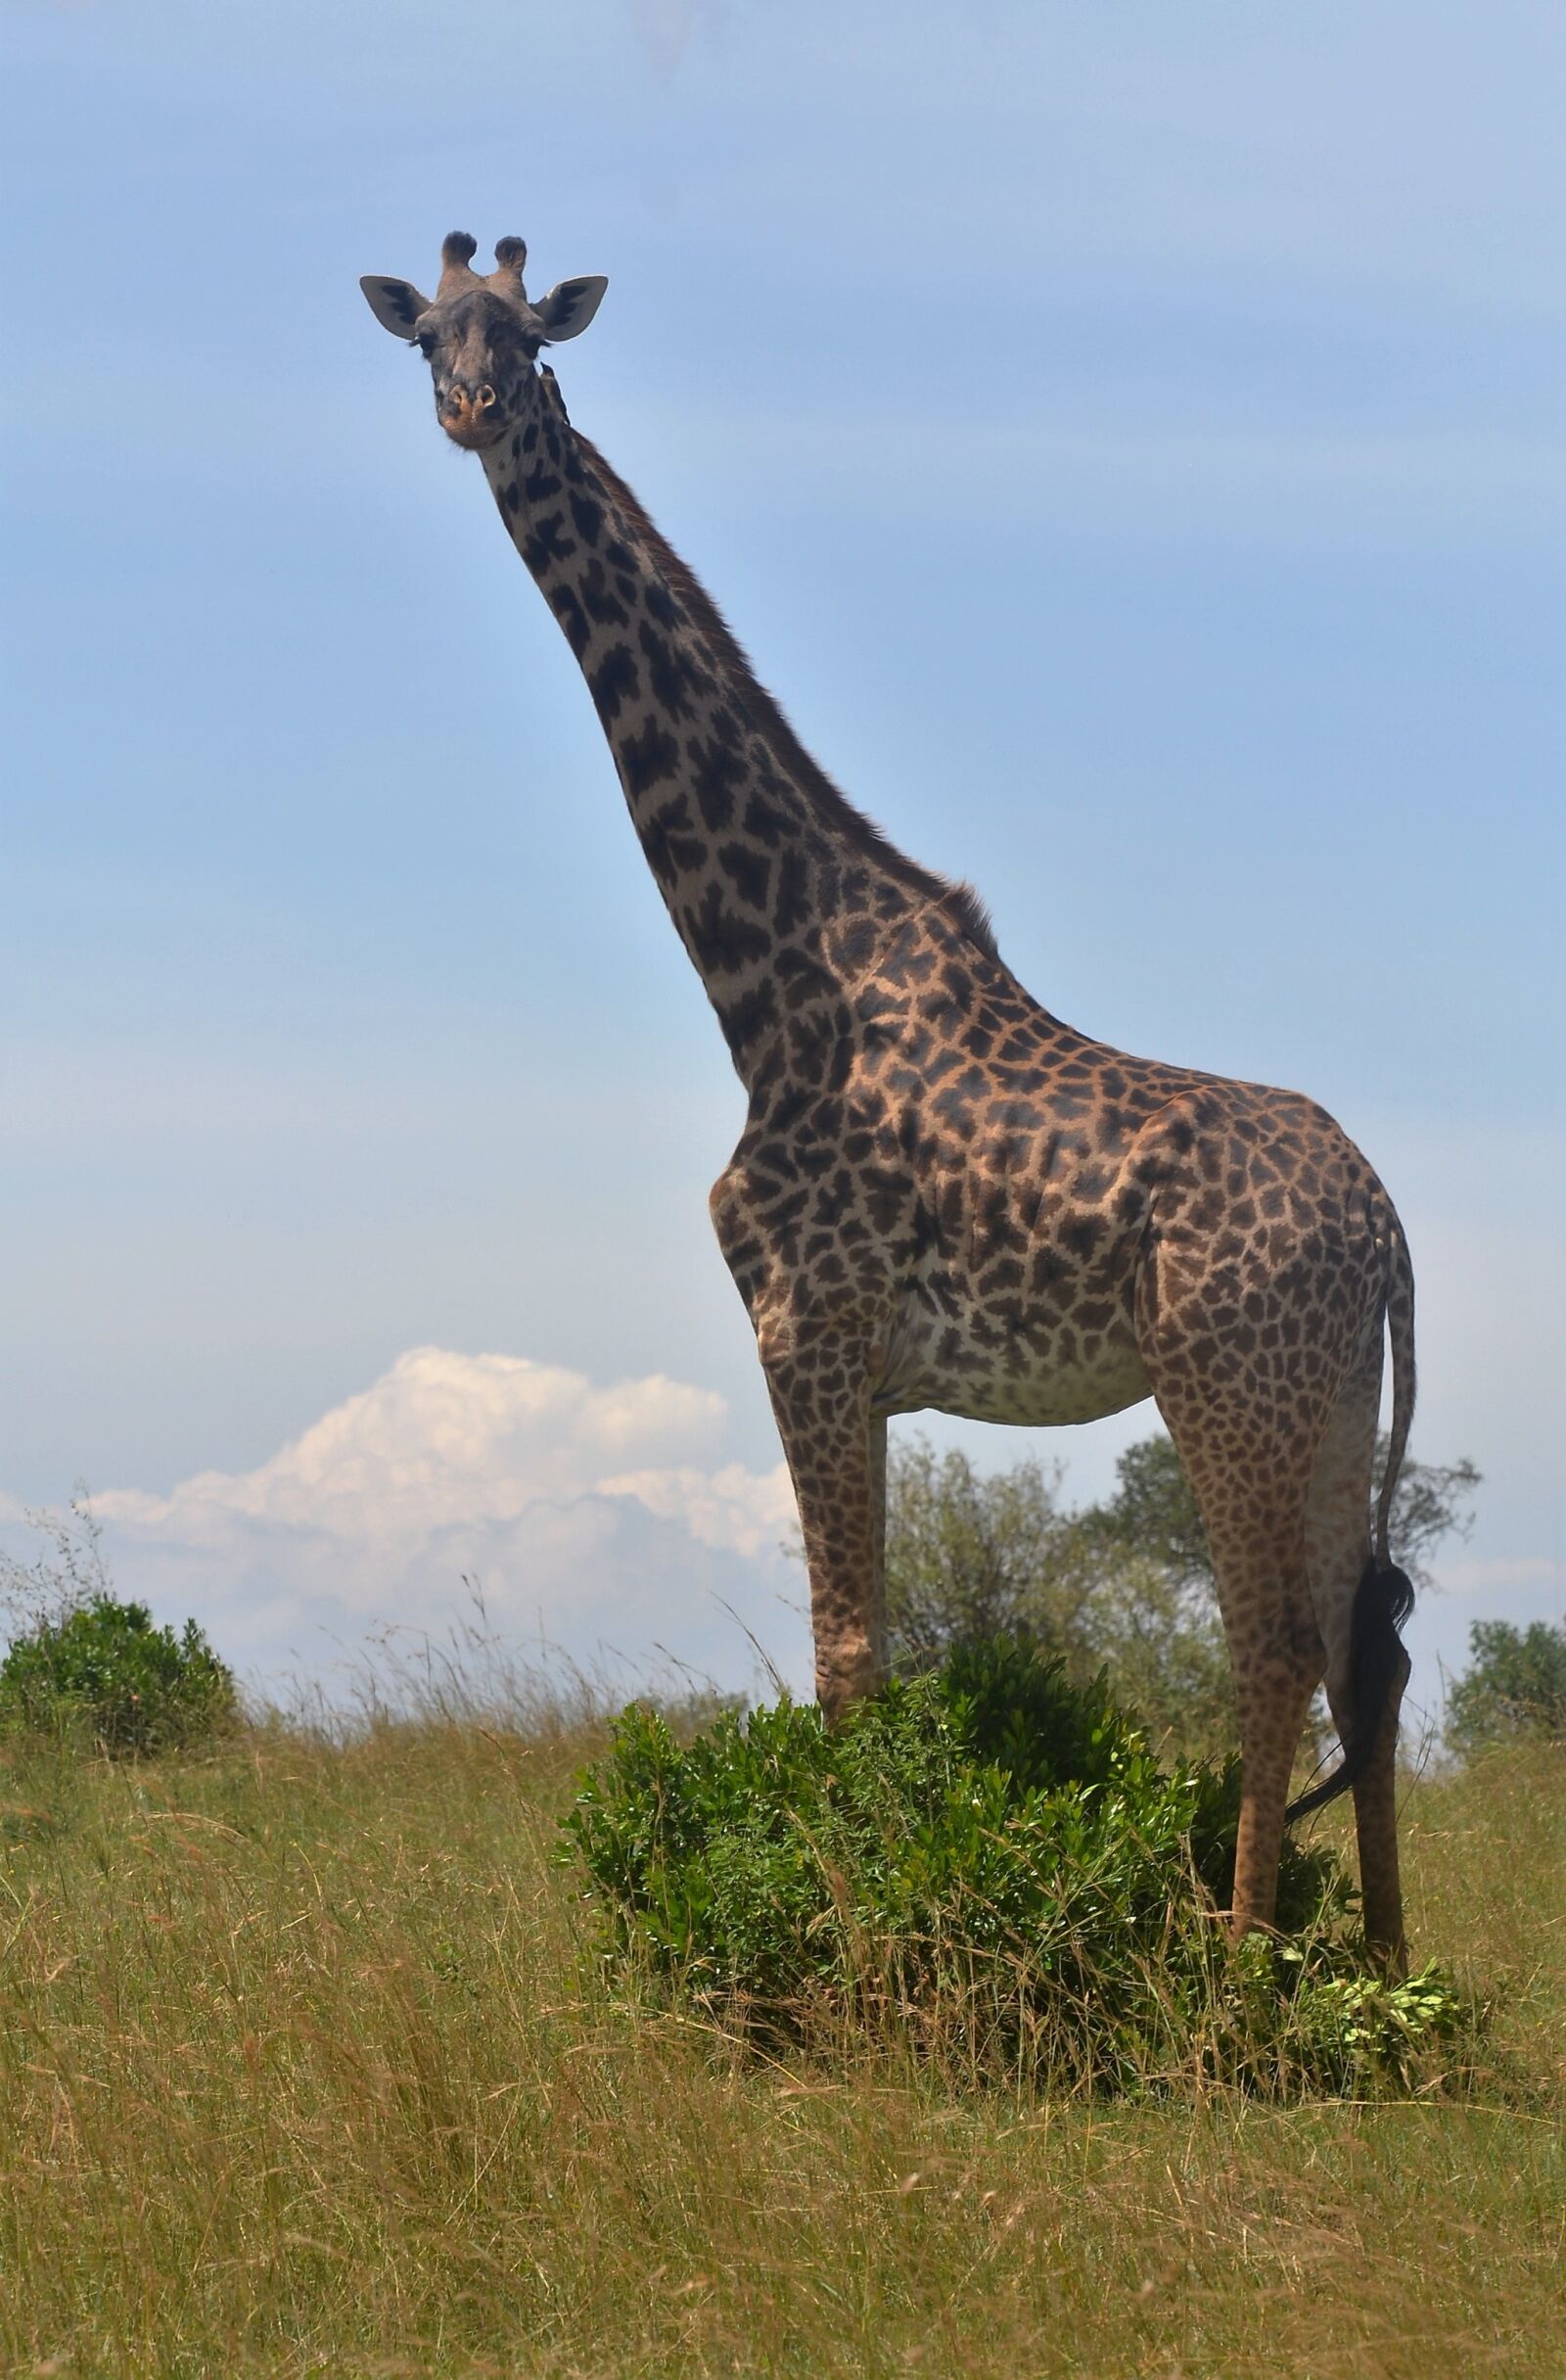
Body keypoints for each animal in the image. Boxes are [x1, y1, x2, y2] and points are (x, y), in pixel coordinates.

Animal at [361, 233, 1419, 1964]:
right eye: (429, 337)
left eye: (525, 339)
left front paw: (857, 1938)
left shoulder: (809, 1324)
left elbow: (847, 1655)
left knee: (1270, 1643)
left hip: (1226, 1381)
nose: (472, 410)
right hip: (1325, 1400)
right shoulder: (856, 1359)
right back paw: (1382, 1970)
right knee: (1361, 1642)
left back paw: (1235, 1962)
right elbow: (874, 1651)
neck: (768, 979)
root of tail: (1390, 1228)